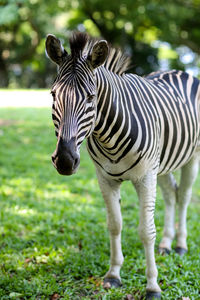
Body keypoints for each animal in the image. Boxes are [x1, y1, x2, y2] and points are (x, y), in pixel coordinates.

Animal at [45, 31, 200, 298]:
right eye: (54, 94)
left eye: (91, 97)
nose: (64, 161)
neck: (109, 137)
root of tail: (179, 71)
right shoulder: (106, 178)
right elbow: (114, 225)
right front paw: (114, 275)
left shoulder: (145, 177)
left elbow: (146, 231)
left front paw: (152, 286)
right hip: (163, 164)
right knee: (171, 195)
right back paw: (166, 244)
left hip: (191, 157)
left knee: (184, 196)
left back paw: (180, 245)